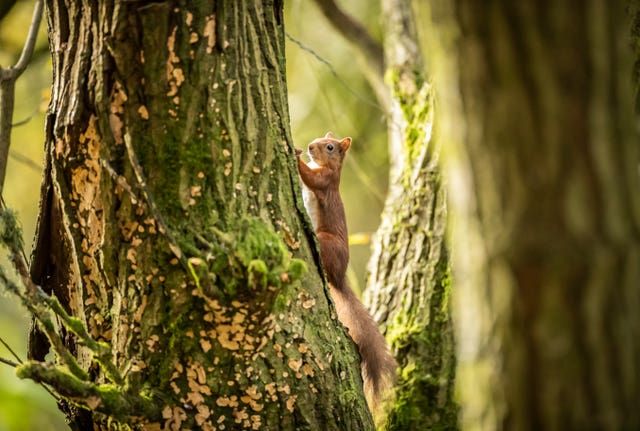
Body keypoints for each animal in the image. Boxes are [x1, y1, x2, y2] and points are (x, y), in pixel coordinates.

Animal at [296, 133, 396, 410]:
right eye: (318, 138)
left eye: (329, 146)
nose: (309, 147)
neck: (329, 167)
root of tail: (340, 278)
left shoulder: (325, 182)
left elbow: (309, 178)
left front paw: (295, 155)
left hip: (325, 239)